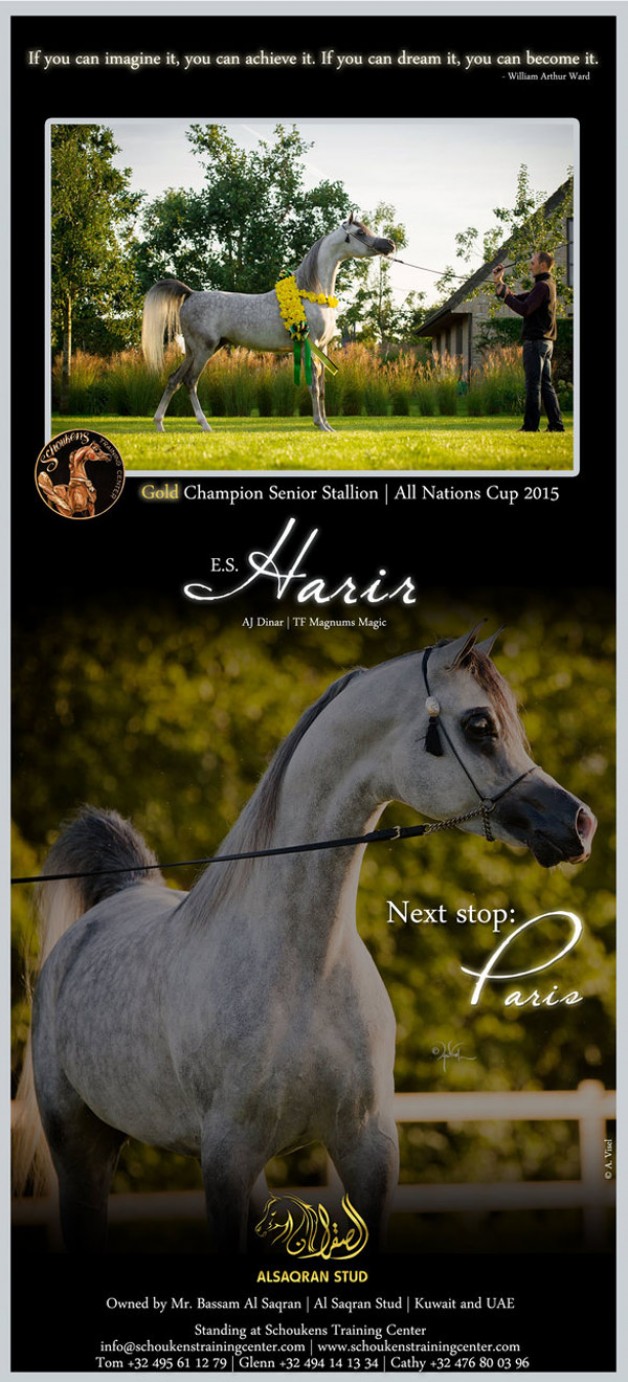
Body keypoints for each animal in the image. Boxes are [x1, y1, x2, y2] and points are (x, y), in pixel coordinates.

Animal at [13, 627, 596, 1253]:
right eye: (480, 725)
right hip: (81, 1148)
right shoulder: (225, 1158)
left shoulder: (367, 1150)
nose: (579, 824)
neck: (303, 972)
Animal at [141, 214, 395, 434]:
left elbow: (322, 388)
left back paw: (159, 424)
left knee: (174, 380)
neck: (312, 293)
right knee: (190, 381)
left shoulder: (323, 348)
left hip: (196, 350)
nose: (389, 244)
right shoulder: (309, 345)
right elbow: (313, 385)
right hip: (203, 349)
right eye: (360, 232)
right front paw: (319, 425)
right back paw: (205, 425)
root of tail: (191, 294)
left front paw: (328, 426)